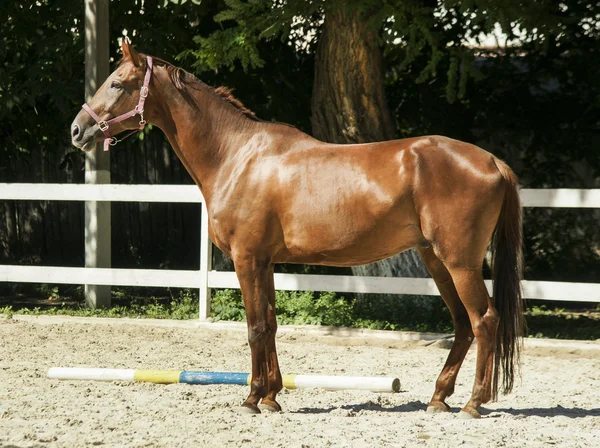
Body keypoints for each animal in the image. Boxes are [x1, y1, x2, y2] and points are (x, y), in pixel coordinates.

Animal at [71, 39, 524, 420]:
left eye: (117, 83)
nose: (77, 129)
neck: (237, 155)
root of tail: (492, 161)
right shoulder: (266, 262)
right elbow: (271, 323)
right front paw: (272, 396)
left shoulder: (247, 259)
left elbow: (255, 326)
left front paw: (252, 397)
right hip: (435, 260)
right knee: (462, 324)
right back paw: (438, 398)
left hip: (459, 262)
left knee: (484, 320)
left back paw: (472, 403)